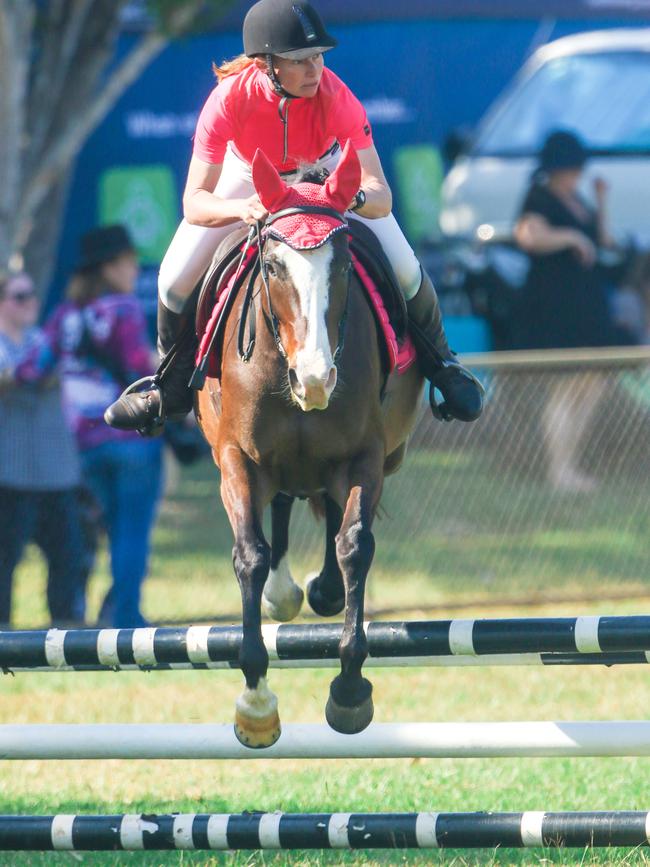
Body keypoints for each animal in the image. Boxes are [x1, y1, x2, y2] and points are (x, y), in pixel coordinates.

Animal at [195, 141, 422, 744]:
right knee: (279, 506)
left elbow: (354, 545)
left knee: (326, 514)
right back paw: (283, 591)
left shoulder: (364, 457)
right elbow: (248, 555)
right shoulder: (236, 458)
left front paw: (349, 691)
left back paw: (318, 591)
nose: (316, 380)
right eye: (272, 266)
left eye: (342, 265)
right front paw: (255, 703)